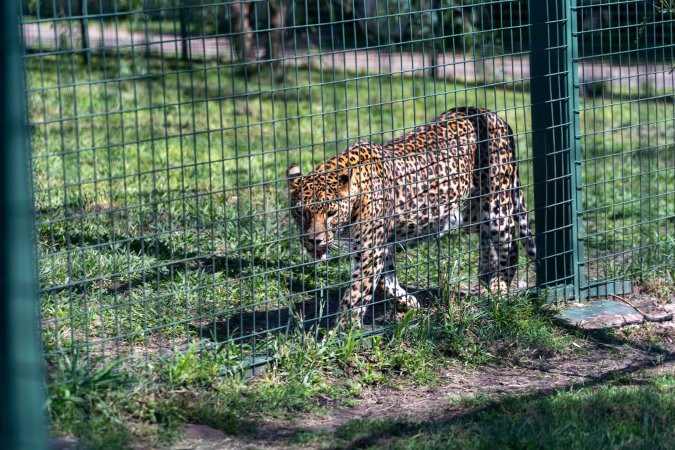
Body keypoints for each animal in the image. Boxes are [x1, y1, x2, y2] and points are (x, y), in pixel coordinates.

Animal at [286, 106, 536, 323]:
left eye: (331, 212)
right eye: (300, 212)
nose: (313, 240)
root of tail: (491, 114)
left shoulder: (371, 251)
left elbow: (355, 296)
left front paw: (340, 332)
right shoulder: (381, 246)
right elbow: (386, 282)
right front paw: (407, 303)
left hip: (497, 203)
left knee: (510, 245)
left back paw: (498, 287)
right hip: (468, 212)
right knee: (487, 239)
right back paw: (484, 279)